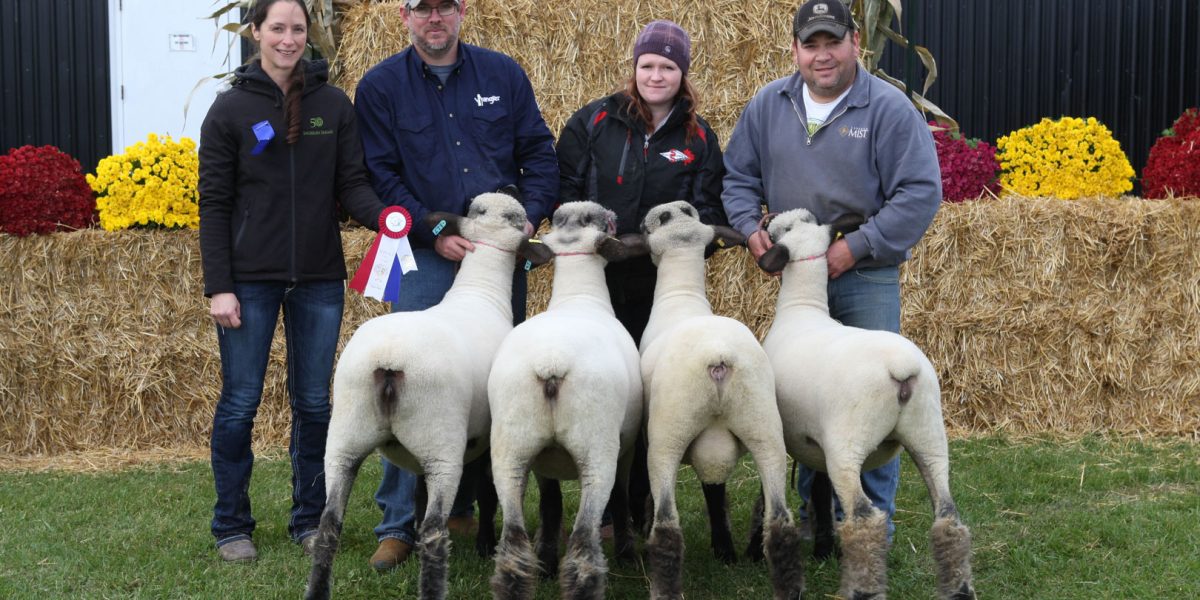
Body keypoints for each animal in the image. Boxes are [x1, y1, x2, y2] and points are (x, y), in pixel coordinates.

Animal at [307, 192, 554, 600]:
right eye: (517, 217)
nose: (508, 184)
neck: (480, 291)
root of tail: (388, 362)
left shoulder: (419, 453)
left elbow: (420, 498)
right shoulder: (487, 435)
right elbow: (486, 492)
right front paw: (486, 544)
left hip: (345, 437)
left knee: (329, 525)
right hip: (441, 444)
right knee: (436, 530)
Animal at [484, 201, 648, 600]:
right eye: (606, 221)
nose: (614, 213)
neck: (578, 297)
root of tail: (551, 362)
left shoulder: (543, 461)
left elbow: (550, 505)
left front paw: (544, 560)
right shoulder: (627, 446)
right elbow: (620, 499)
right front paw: (626, 553)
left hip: (511, 447)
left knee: (513, 540)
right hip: (597, 448)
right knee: (585, 540)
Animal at [638, 201, 806, 600]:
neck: (681, 295)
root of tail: (718, 357)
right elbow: (714, 490)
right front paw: (724, 549)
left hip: (667, 435)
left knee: (667, 527)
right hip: (764, 427)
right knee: (780, 519)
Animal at [758, 208, 974, 600]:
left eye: (783, 228)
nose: (765, 221)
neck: (802, 307)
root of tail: (901, 370)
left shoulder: (782, 431)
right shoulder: (814, 444)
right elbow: (819, 491)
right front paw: (824, 546)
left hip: (847, 444)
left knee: (864, 519)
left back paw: (863, 588)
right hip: (930, 434)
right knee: (949, 516)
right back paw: (960, 589)